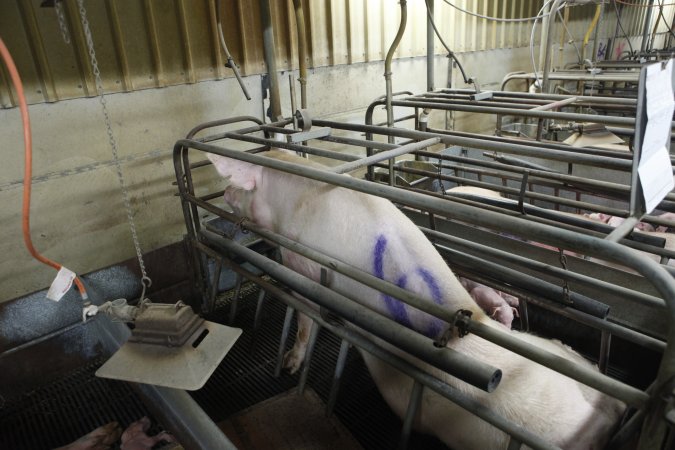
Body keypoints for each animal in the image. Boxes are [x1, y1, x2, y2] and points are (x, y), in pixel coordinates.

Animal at [209, 151, 624, 450]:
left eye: (239, 185)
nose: (224, 194)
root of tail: (611, 409)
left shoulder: (302, 265)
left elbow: (305, 318)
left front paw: (289, 365)